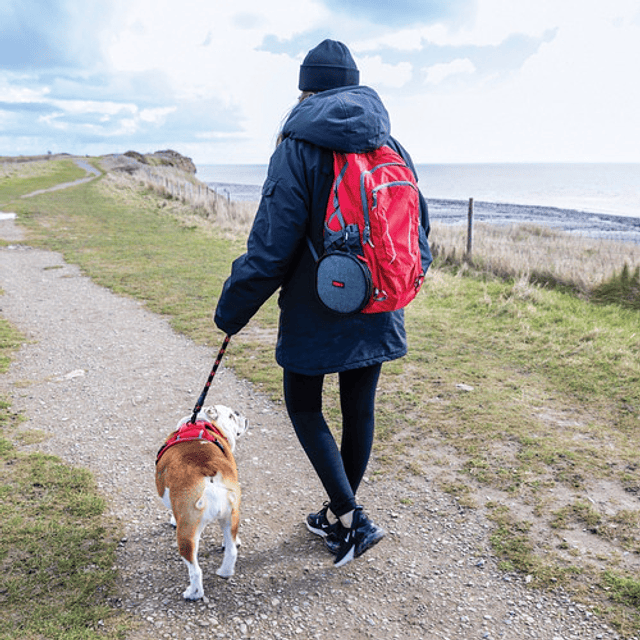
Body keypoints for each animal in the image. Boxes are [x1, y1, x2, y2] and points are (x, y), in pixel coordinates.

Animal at [155, 404, 248, 600]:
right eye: (232, 415)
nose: (240, 414)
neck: (202, 422)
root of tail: (209, 471)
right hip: (231, 515)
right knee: (232, 550)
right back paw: (225, 571)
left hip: (187, 532)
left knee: (195, 569)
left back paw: (193, 593)